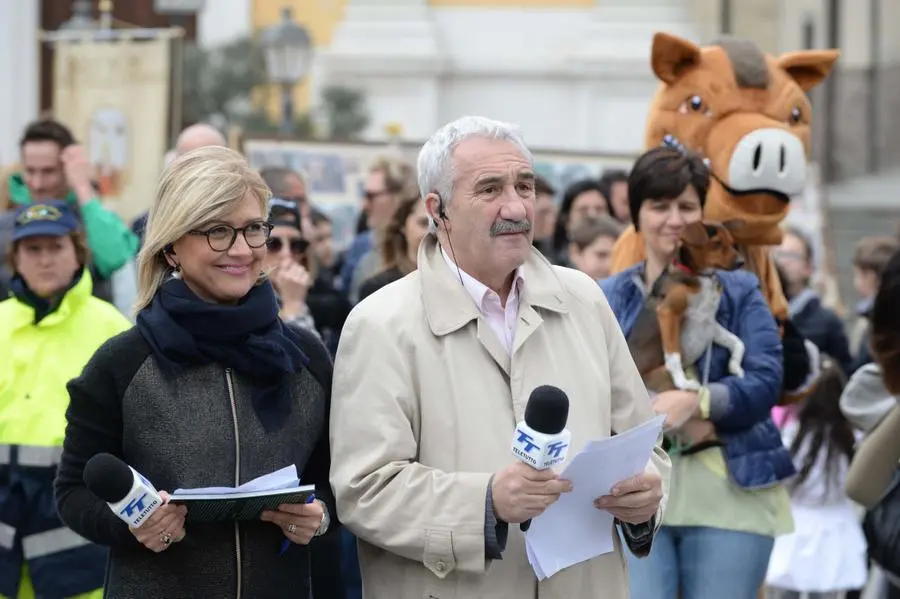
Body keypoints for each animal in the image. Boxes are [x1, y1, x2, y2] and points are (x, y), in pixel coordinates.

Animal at [624, 220, 744, 394]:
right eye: (716, 243)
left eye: (732, 243)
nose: (742, 262)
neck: (700, 276)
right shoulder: (667, 311)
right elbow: (673, 357)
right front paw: (683, 383)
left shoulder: (709, 323)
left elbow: (737, 342)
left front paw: (735, 366)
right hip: (661, 378)